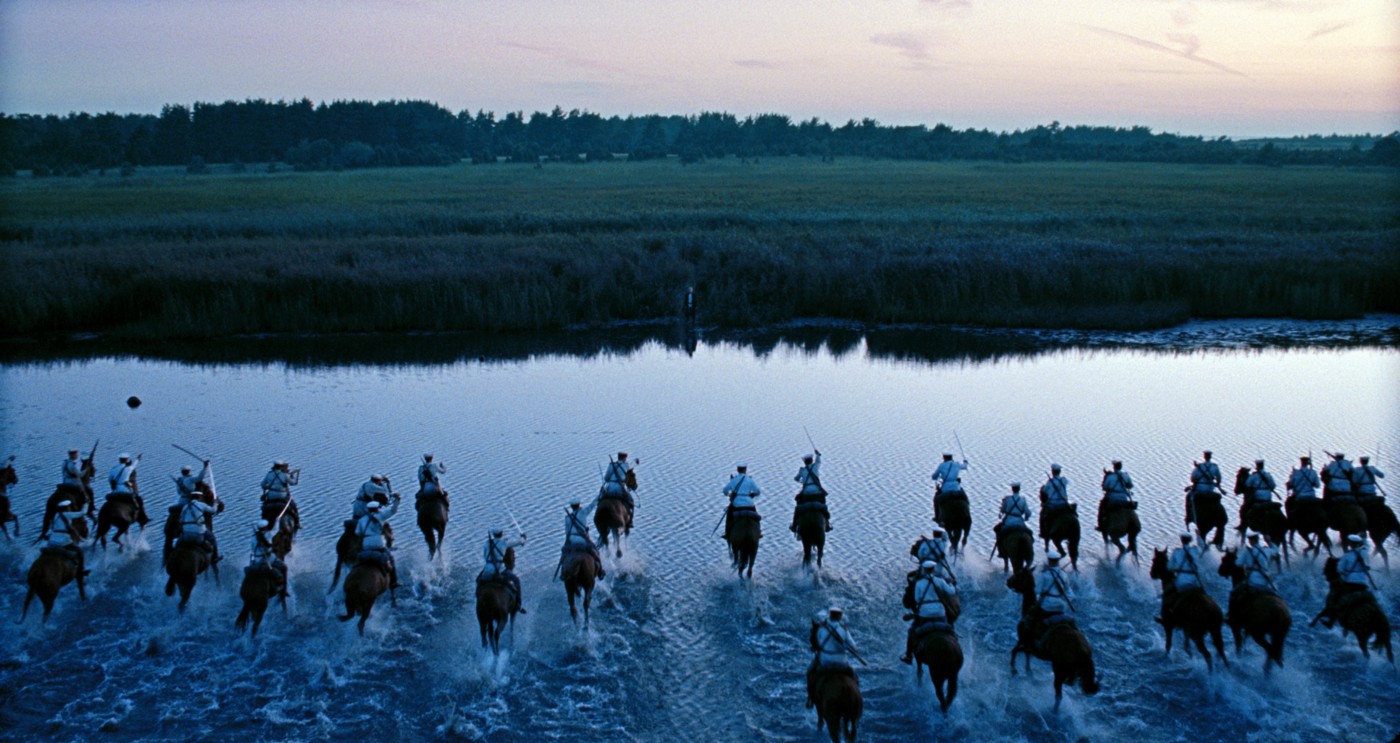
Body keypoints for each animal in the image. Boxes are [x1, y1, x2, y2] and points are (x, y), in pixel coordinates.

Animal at [1008, 568, 1103, 713]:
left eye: (1019, 575)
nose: (1008, 581)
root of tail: (1083, 653)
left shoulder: (1024, 640)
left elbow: (1015, 651)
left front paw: (1014, 669)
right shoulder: (1029, 645)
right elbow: (1026, 654)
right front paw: (1028, 671)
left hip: (1059, 670)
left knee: (1059, 693)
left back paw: (1054, 710)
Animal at [1215, 545, 1288, 674]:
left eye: (1225, 559)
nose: (1220, 571)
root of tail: (1280, 614)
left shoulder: (1235, 625)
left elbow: (1238, 644)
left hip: (1258, 634)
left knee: (1270, 650)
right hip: (1277, 636)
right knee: (1273, 653)